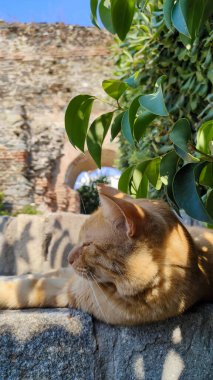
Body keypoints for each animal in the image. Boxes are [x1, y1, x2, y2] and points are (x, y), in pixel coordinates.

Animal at [0, 186, 212, 326]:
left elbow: (26, 288)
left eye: (87, 244)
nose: (69, 258)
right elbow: (34, 277)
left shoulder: (68, 291)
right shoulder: (68, 278)